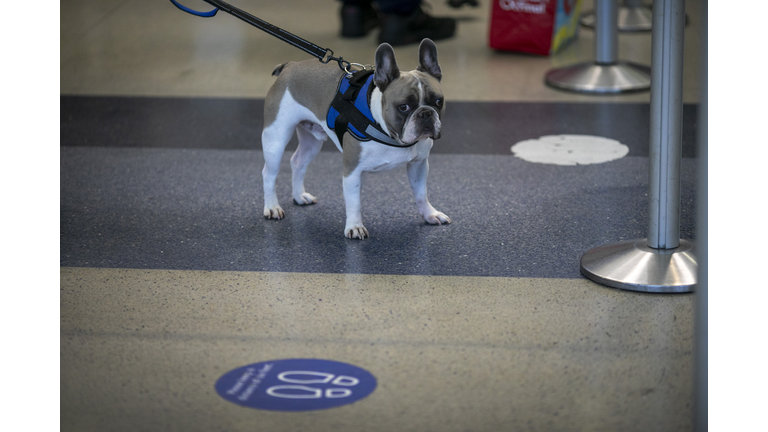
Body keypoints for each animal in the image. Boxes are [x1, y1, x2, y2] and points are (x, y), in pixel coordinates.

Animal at [260, 38, 450, 238]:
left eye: (439, 101)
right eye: (403, 107)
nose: (425, 113)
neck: (389, 133)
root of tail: (289, 66)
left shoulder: (419, 165)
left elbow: (421, 194)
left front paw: (430, 214)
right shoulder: (352, 171)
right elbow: (354, 202)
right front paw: (354, 227)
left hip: (312, 142)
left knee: (298, 163)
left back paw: (299, 196)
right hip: (275, 137)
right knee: (269, 173)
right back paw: (272, 207)